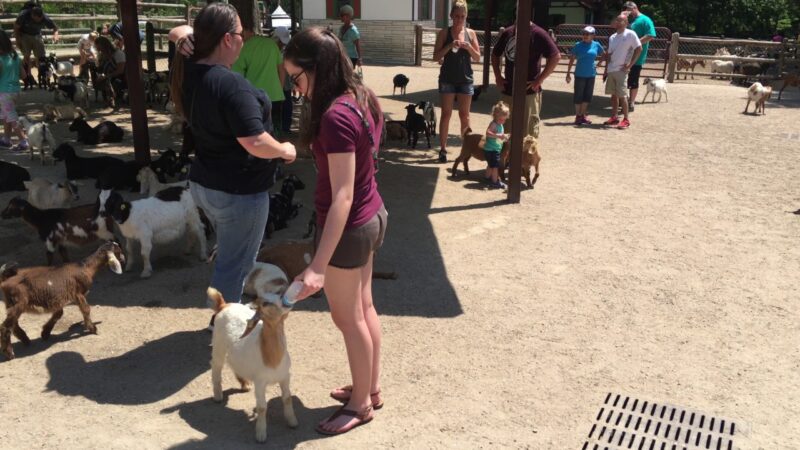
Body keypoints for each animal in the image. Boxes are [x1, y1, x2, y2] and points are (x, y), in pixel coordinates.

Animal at [208, 264, 298, 442]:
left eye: (277, 294)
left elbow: (287, 398)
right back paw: (218, 396)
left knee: (233, 362)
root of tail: (223, 305)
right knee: (216, 366)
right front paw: (261, 434)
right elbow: (262, 407)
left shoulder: (285, 376)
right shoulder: (260, 382)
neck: (272, 357)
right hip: (218, 346)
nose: (285, 298)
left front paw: (292, 422)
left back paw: (244, 384)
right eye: (265, 303)